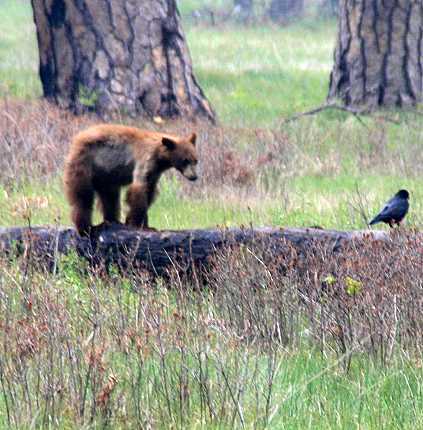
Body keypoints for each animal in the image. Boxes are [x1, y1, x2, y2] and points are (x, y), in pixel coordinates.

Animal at [63, 122, 199, 237]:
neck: (160, 157)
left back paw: (112, 221)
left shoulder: (155, 172)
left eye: (195, 160)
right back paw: (86, 228)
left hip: (105, 174)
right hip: (84, 164)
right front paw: (140, 225)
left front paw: (137, 222)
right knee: (83, 197)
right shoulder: (145, 160)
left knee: (110, 196)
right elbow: (139, 189)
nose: (194, 177)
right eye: (185, 160)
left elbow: (149, 192)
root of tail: (77, 139)